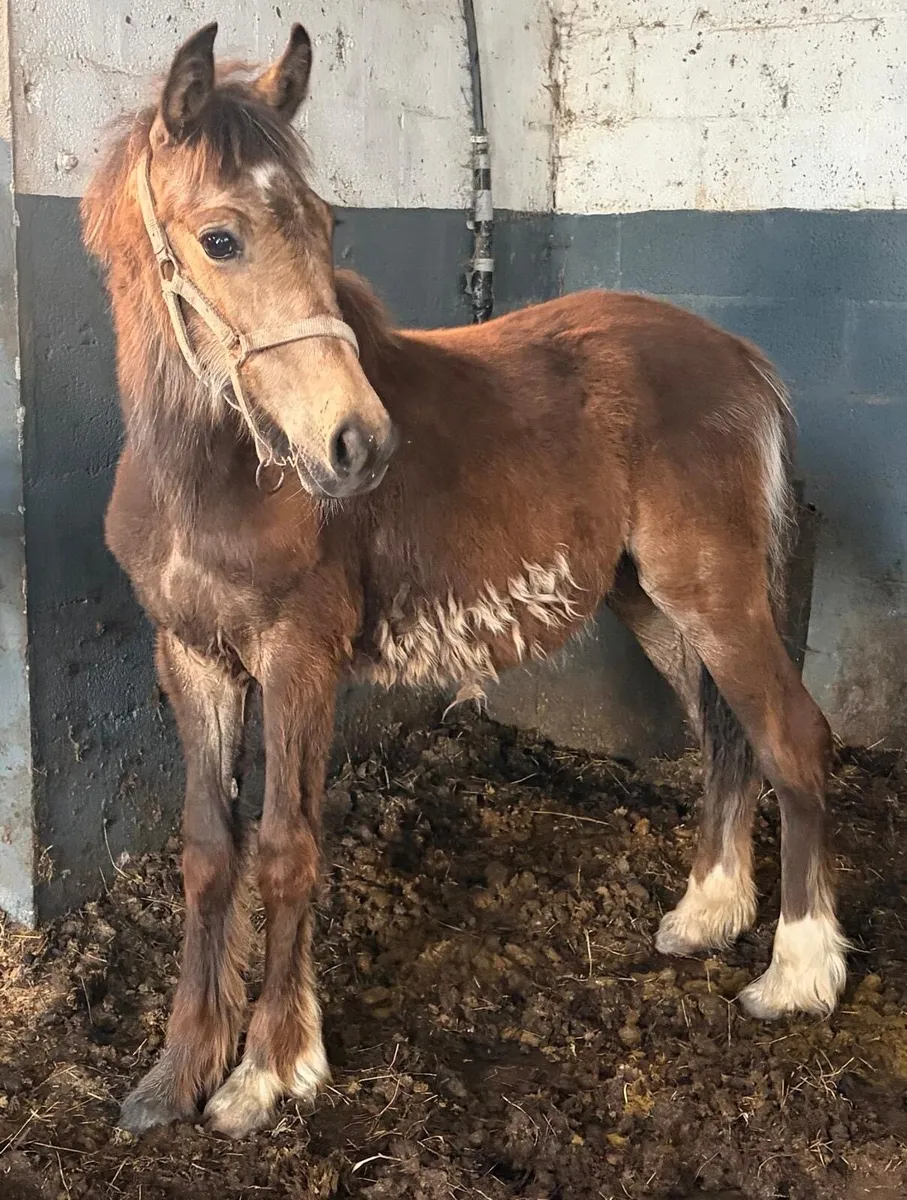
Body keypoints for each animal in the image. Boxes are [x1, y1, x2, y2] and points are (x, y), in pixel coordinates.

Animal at [81, 22, 848, 1138]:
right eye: (221, 239)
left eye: (328, 222)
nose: (356, 444)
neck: (215, 476)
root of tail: (742, 357)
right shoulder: (194, 660)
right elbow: (209, 854)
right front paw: (177, 1072)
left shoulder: (297, 661)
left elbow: (285, 848)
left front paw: (267, 1071)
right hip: (652, 604)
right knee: (723, 736)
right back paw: (705, 914)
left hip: (713, 591)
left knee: (789, 737)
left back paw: (796, 974)